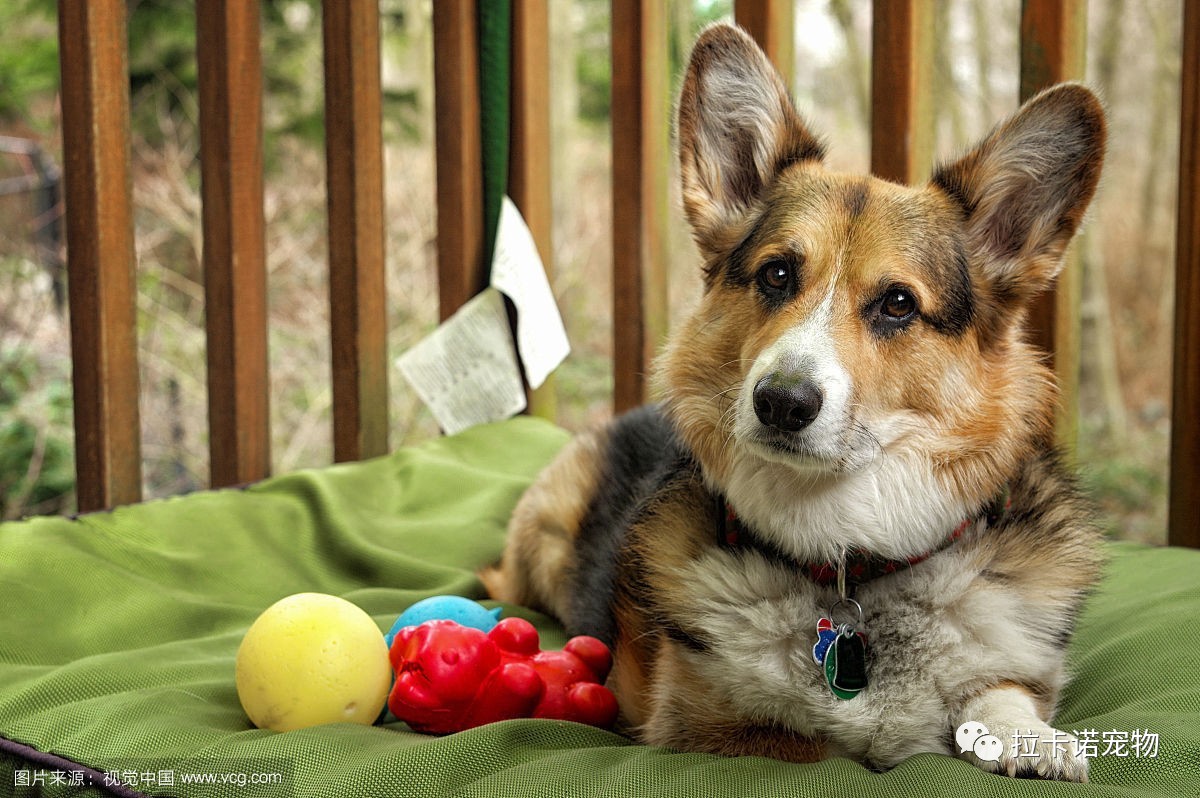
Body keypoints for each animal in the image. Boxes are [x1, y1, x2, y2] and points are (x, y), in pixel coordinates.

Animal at [480, 23, 1104, 777]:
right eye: (777, 274)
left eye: (899, 304)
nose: (780, 402)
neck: (850, 564)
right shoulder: (712, 727)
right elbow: (802, 737)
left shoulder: (1009, 660)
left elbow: (998, 687)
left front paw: (1025, 736)